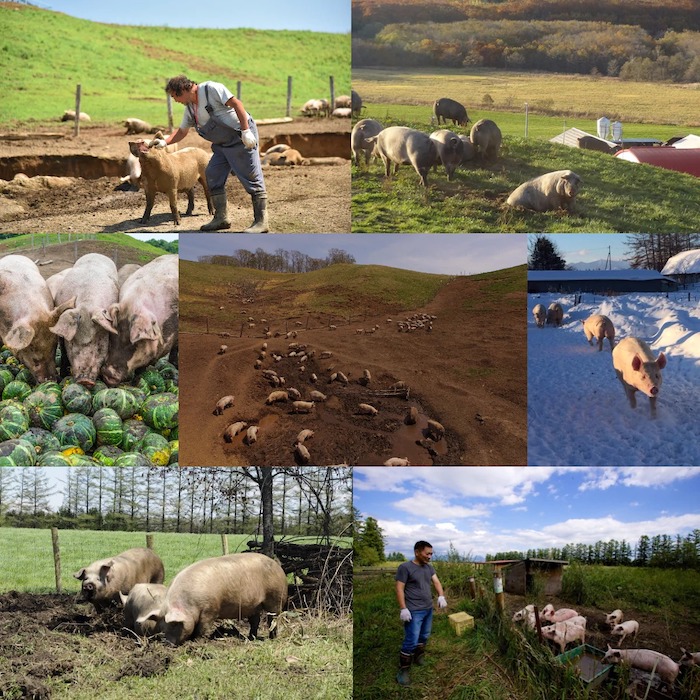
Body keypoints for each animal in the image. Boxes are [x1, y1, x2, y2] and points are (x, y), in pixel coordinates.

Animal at [49, 254, 119, 392]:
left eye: (99, 344)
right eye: (72, 344)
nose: (85, 380)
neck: (87, 304)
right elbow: (63, 353)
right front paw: (63, 375)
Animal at [137, 552, 288, 644]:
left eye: (174, 625)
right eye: (160, 627)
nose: (167, 644)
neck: (189, 604)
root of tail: (277, 565)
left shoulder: (210, 610)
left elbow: (202, 628)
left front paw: (197, 642)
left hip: (276, 597)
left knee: (273, 619)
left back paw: (272, 638)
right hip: (254, 605)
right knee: (255, 621)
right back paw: (250, 638)